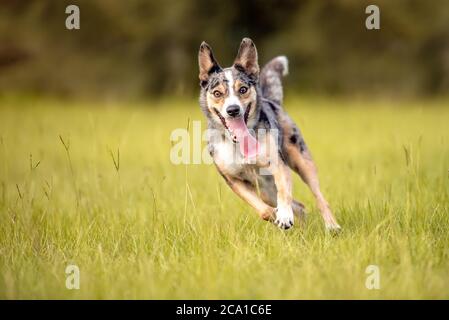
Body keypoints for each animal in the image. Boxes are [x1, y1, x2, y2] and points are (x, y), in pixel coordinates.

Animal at [196, 38, 340, 231]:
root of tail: (271, 101)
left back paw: (331, 226)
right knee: (299, 206)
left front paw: (284, 216)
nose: (233, 110)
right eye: (217, 93)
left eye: (243, 89)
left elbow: (284, 193)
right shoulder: (234, 180)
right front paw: (277, 215)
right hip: (266, 188)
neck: (239, 146)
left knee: (319, 197)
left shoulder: (278, 165)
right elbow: (264, 211)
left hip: (301, 161)